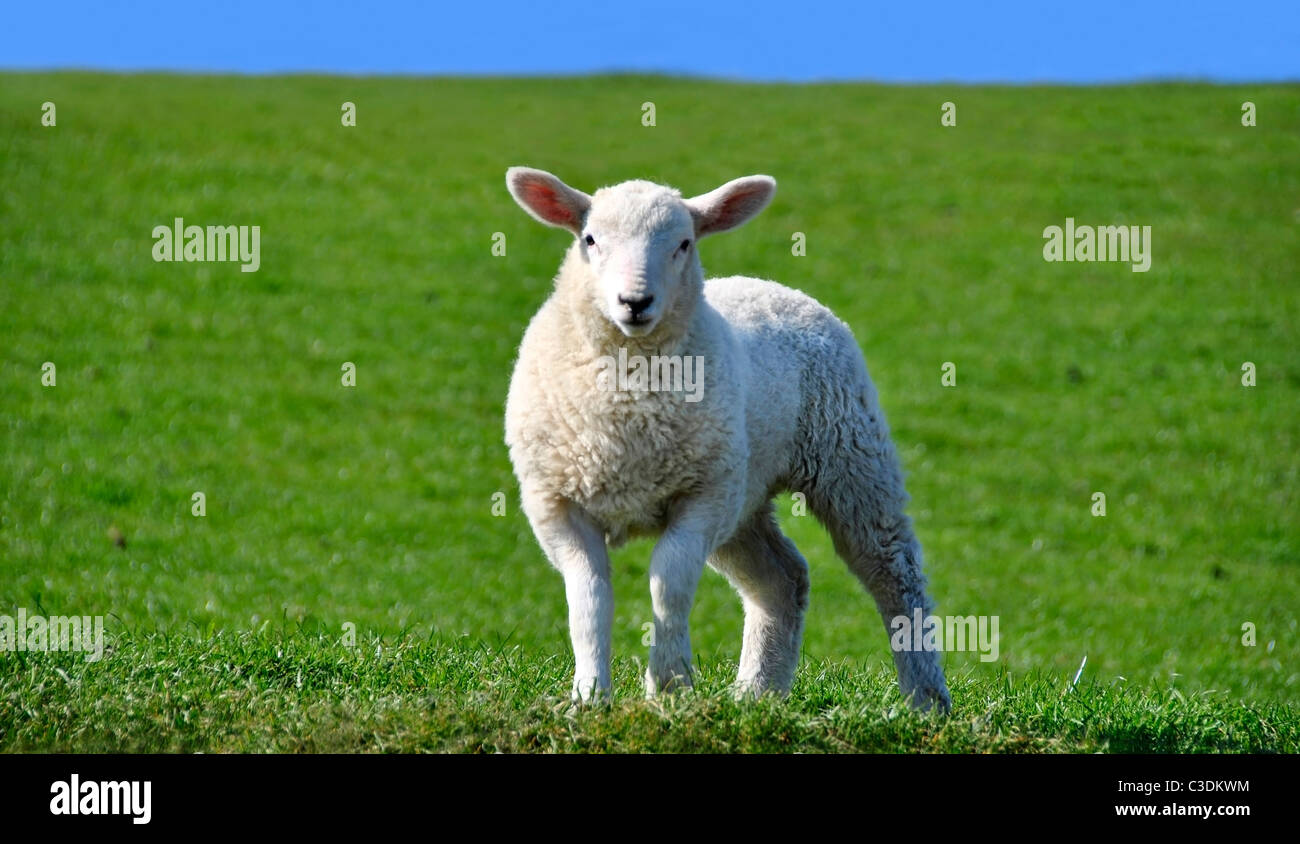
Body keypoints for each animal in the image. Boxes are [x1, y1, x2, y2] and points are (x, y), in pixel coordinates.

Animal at [501, 166, 951, 712]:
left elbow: (668, 584)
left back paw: (925, 698)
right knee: (783, 579)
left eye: (683, 244)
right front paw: (590, 696)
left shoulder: (700, 498)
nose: (635, 302)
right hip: (744, 495)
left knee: (894, 573)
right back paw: (758, 693)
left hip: (849, 458)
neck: (627, 401)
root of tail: (768, 284)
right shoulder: (557, 505)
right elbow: (588, 599)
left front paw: (669, 684)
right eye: (590, 240)